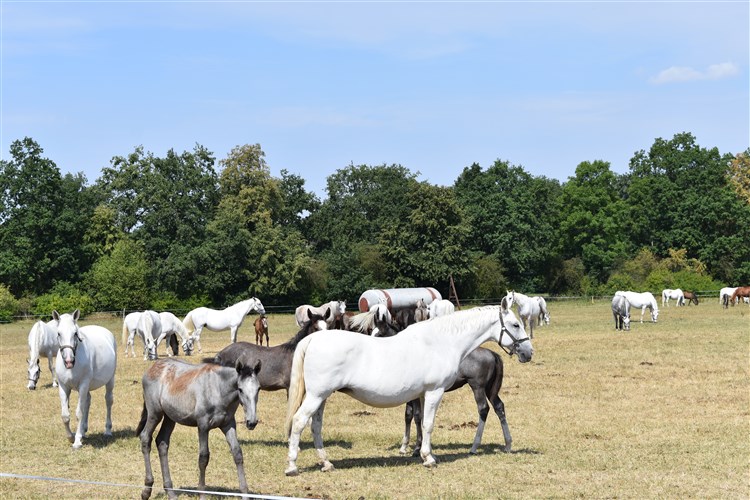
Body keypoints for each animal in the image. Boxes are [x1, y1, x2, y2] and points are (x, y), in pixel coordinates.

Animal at [54, 308, 117, 450]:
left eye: (75, 333)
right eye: (59, 333)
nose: (69, 361)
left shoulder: (83, 385)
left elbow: (79, 413)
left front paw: (77, 441)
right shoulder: (63, 387)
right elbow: (65, 415)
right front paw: (71, 436)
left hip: (110, 380)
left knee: (108, 401)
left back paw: (107, 431)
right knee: (88, 401)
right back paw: (83, 431)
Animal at [137, 358, 262, 498]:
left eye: (258, 389)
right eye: (240, 389)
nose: (252, 422)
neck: (218, 389)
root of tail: (152, 367)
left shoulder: (228, 425)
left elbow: (237, 454)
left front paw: (245, 494)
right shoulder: (203, 426)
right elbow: (203, 458)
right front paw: (202, 493)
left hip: (170, 417)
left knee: (162, 442)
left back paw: (171, 492)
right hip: (155, 414)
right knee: (145, 438)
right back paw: (146, 490)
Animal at [284, 300, 536, 476]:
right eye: (515, 324)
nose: (528, 352)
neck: (441, 343)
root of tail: (313, 340)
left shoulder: (421, 395)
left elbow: (420, 421)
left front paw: (421, 452)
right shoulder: (434, 391)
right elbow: (427, 423)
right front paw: (428, 458)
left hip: (321, 397)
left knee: (315, 426)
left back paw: (326, 463)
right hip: (316, 396)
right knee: (299, 421)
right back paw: (292, 466)